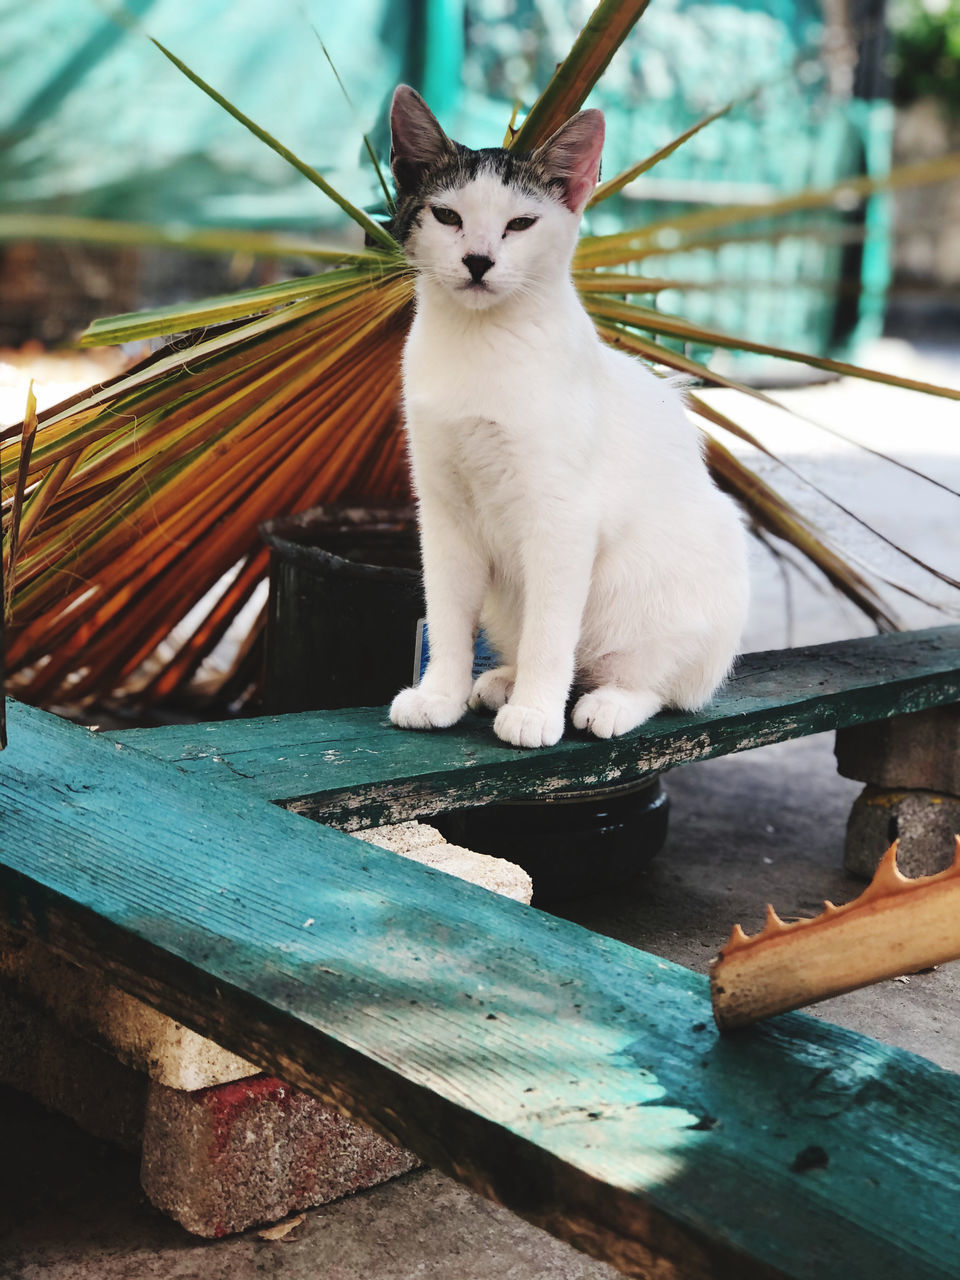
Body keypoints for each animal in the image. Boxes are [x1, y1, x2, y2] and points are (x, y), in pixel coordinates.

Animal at [386, 85, 747, 747]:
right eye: (447, 217)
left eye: (520, 223)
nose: (477, 260)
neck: (483, 344)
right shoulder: (444, 513)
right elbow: (447, 615)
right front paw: (439, 694)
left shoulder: (563, 519)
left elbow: (551, 630)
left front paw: (534, 712)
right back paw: (501, 680)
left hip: (662, 596)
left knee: (657, 684)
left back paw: (606, 702)